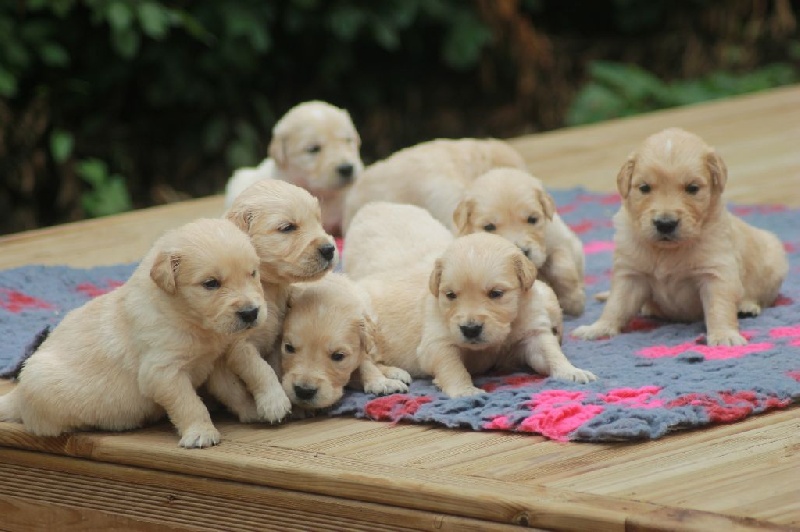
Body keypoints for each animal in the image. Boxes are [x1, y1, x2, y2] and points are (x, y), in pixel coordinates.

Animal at [0, 219, 270, 448]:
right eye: (211, 283)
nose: (250, 313)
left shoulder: (214, 362)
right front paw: (201, 432)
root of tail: (17, 395)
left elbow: (232, 390)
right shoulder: (162, 372)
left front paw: (253, 410)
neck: (188, 318)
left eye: (253, 273)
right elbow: (189, 403)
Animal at [205, 178, 339, 421]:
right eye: (287, 228)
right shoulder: (239, 344)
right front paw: (274, 402)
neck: (269, 289)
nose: (329, 249)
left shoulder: (279, 338)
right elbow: (259, 369)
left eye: (318, 220)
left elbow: (278, 365)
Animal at [345, 203, 596, 398]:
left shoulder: (531, 329)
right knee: (361, 364)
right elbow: (451, 365)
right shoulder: (437, 340)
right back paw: (387, 380)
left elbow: (550, 352)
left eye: (496, 293)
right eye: (450, 295)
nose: (470, 329)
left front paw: (572, 371)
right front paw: (465, 391)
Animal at [453, 167, 586, 316]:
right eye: (489, 227)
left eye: (532, 219)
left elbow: (562, 268)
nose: (523, 251)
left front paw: (574, 301)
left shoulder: (559, 240)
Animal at [572, 127, 788, 346]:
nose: (665, 224)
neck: (667, 251)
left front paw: (724, 335)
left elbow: (719, 306)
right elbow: (616, 304)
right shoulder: (630, 274)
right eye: (644, 188)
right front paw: (599, 328)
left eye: (692, 188)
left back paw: (747, 306)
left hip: (773, 261)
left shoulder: (716, 272)